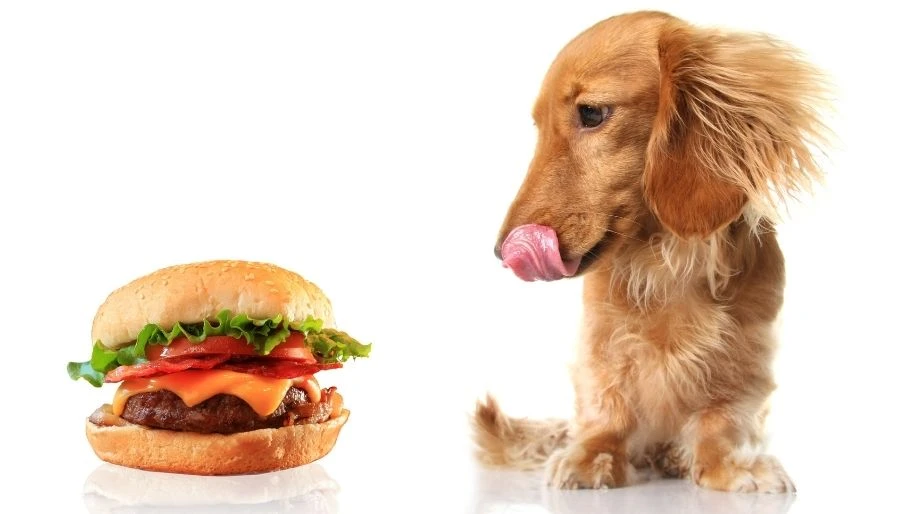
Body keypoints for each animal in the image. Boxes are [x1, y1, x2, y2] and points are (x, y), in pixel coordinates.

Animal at [472, 11, 832, 492]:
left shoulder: (745, 351)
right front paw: (591, 456)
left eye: (591, 113)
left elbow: (720, 419)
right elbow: (608, 406)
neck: (665, 260)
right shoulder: (602, 342)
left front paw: (730, 466)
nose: (500, 251)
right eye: (538, 125)